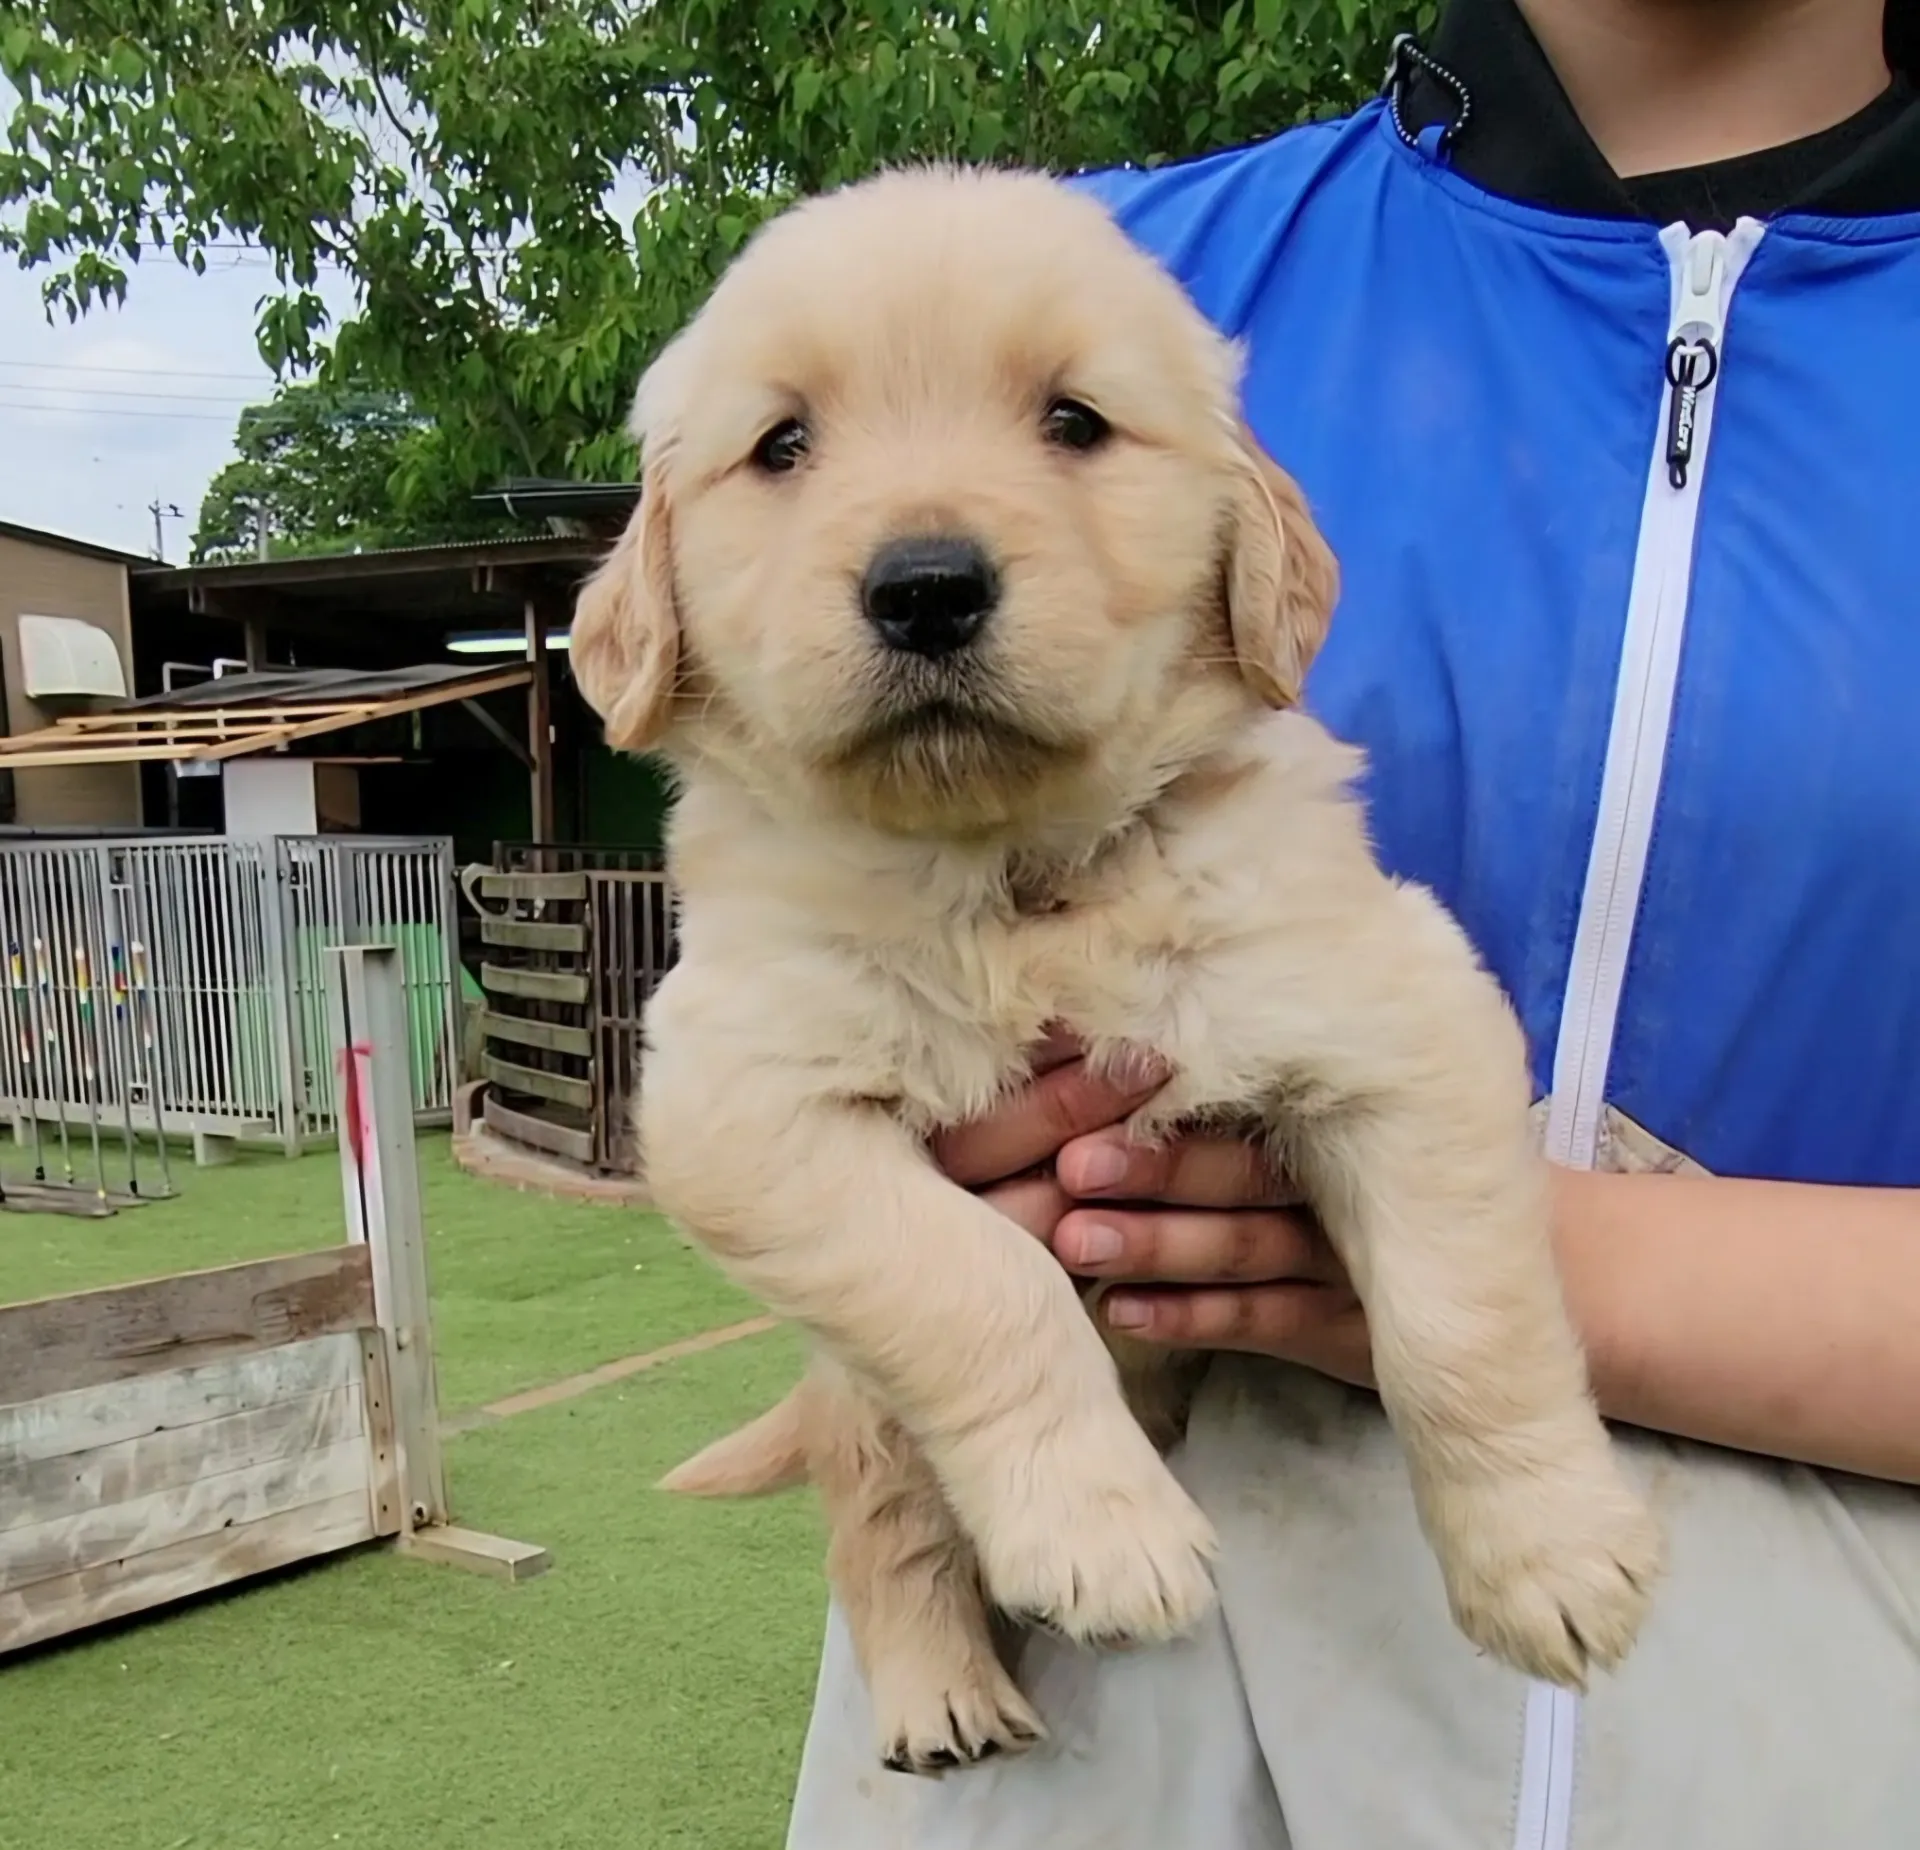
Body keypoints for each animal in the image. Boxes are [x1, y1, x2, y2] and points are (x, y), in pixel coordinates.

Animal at [568, 162, 1666, 1780]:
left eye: (1074, 422)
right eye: (783, 446)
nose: (927, 586)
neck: (1021, 877)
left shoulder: (1397, 1009)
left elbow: (1464, 1318)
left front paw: (1555, 1552)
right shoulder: (741, 1098)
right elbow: (981, 1279)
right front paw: (1106, 1535)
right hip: (860, 1402)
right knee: (879, 1517)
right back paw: (941, 1690)